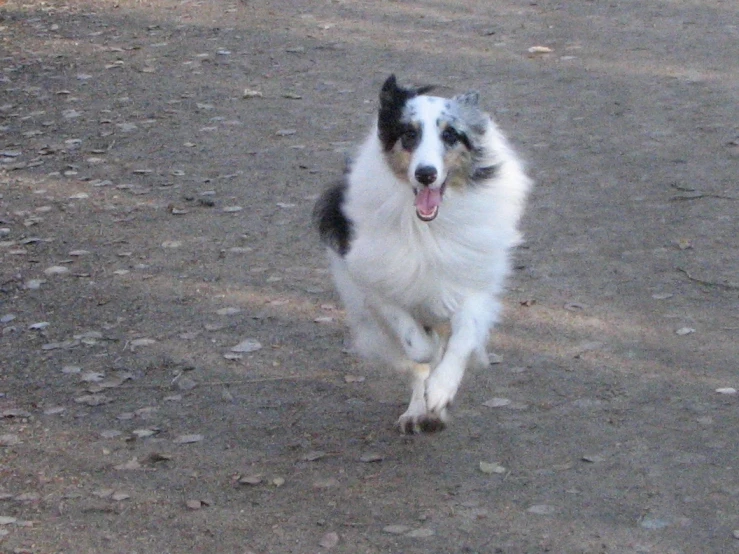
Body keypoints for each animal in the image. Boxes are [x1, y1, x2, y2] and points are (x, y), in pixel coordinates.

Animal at [312, 74, 532, 432]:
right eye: (409, 134)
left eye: (450, 135)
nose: (426, 174)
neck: (427, 228)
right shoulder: (377, 285)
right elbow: (417, 347)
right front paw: (427, 380)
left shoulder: (472, 287)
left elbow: (461, 339)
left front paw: (442, 390)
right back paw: (418, 412)